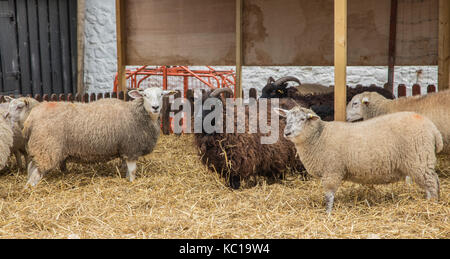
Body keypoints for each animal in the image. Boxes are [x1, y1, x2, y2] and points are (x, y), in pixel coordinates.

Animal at [276, 106, 442, 214]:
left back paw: (431, 205)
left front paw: (327, 213)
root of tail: (433, 128)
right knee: (435, 180)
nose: (286, 133)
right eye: (286, 119)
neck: (319, 137)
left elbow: (329, 195)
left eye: (303, 119)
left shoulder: (332, 171)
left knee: (431, 183)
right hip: (422, 160)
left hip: (419, 159)